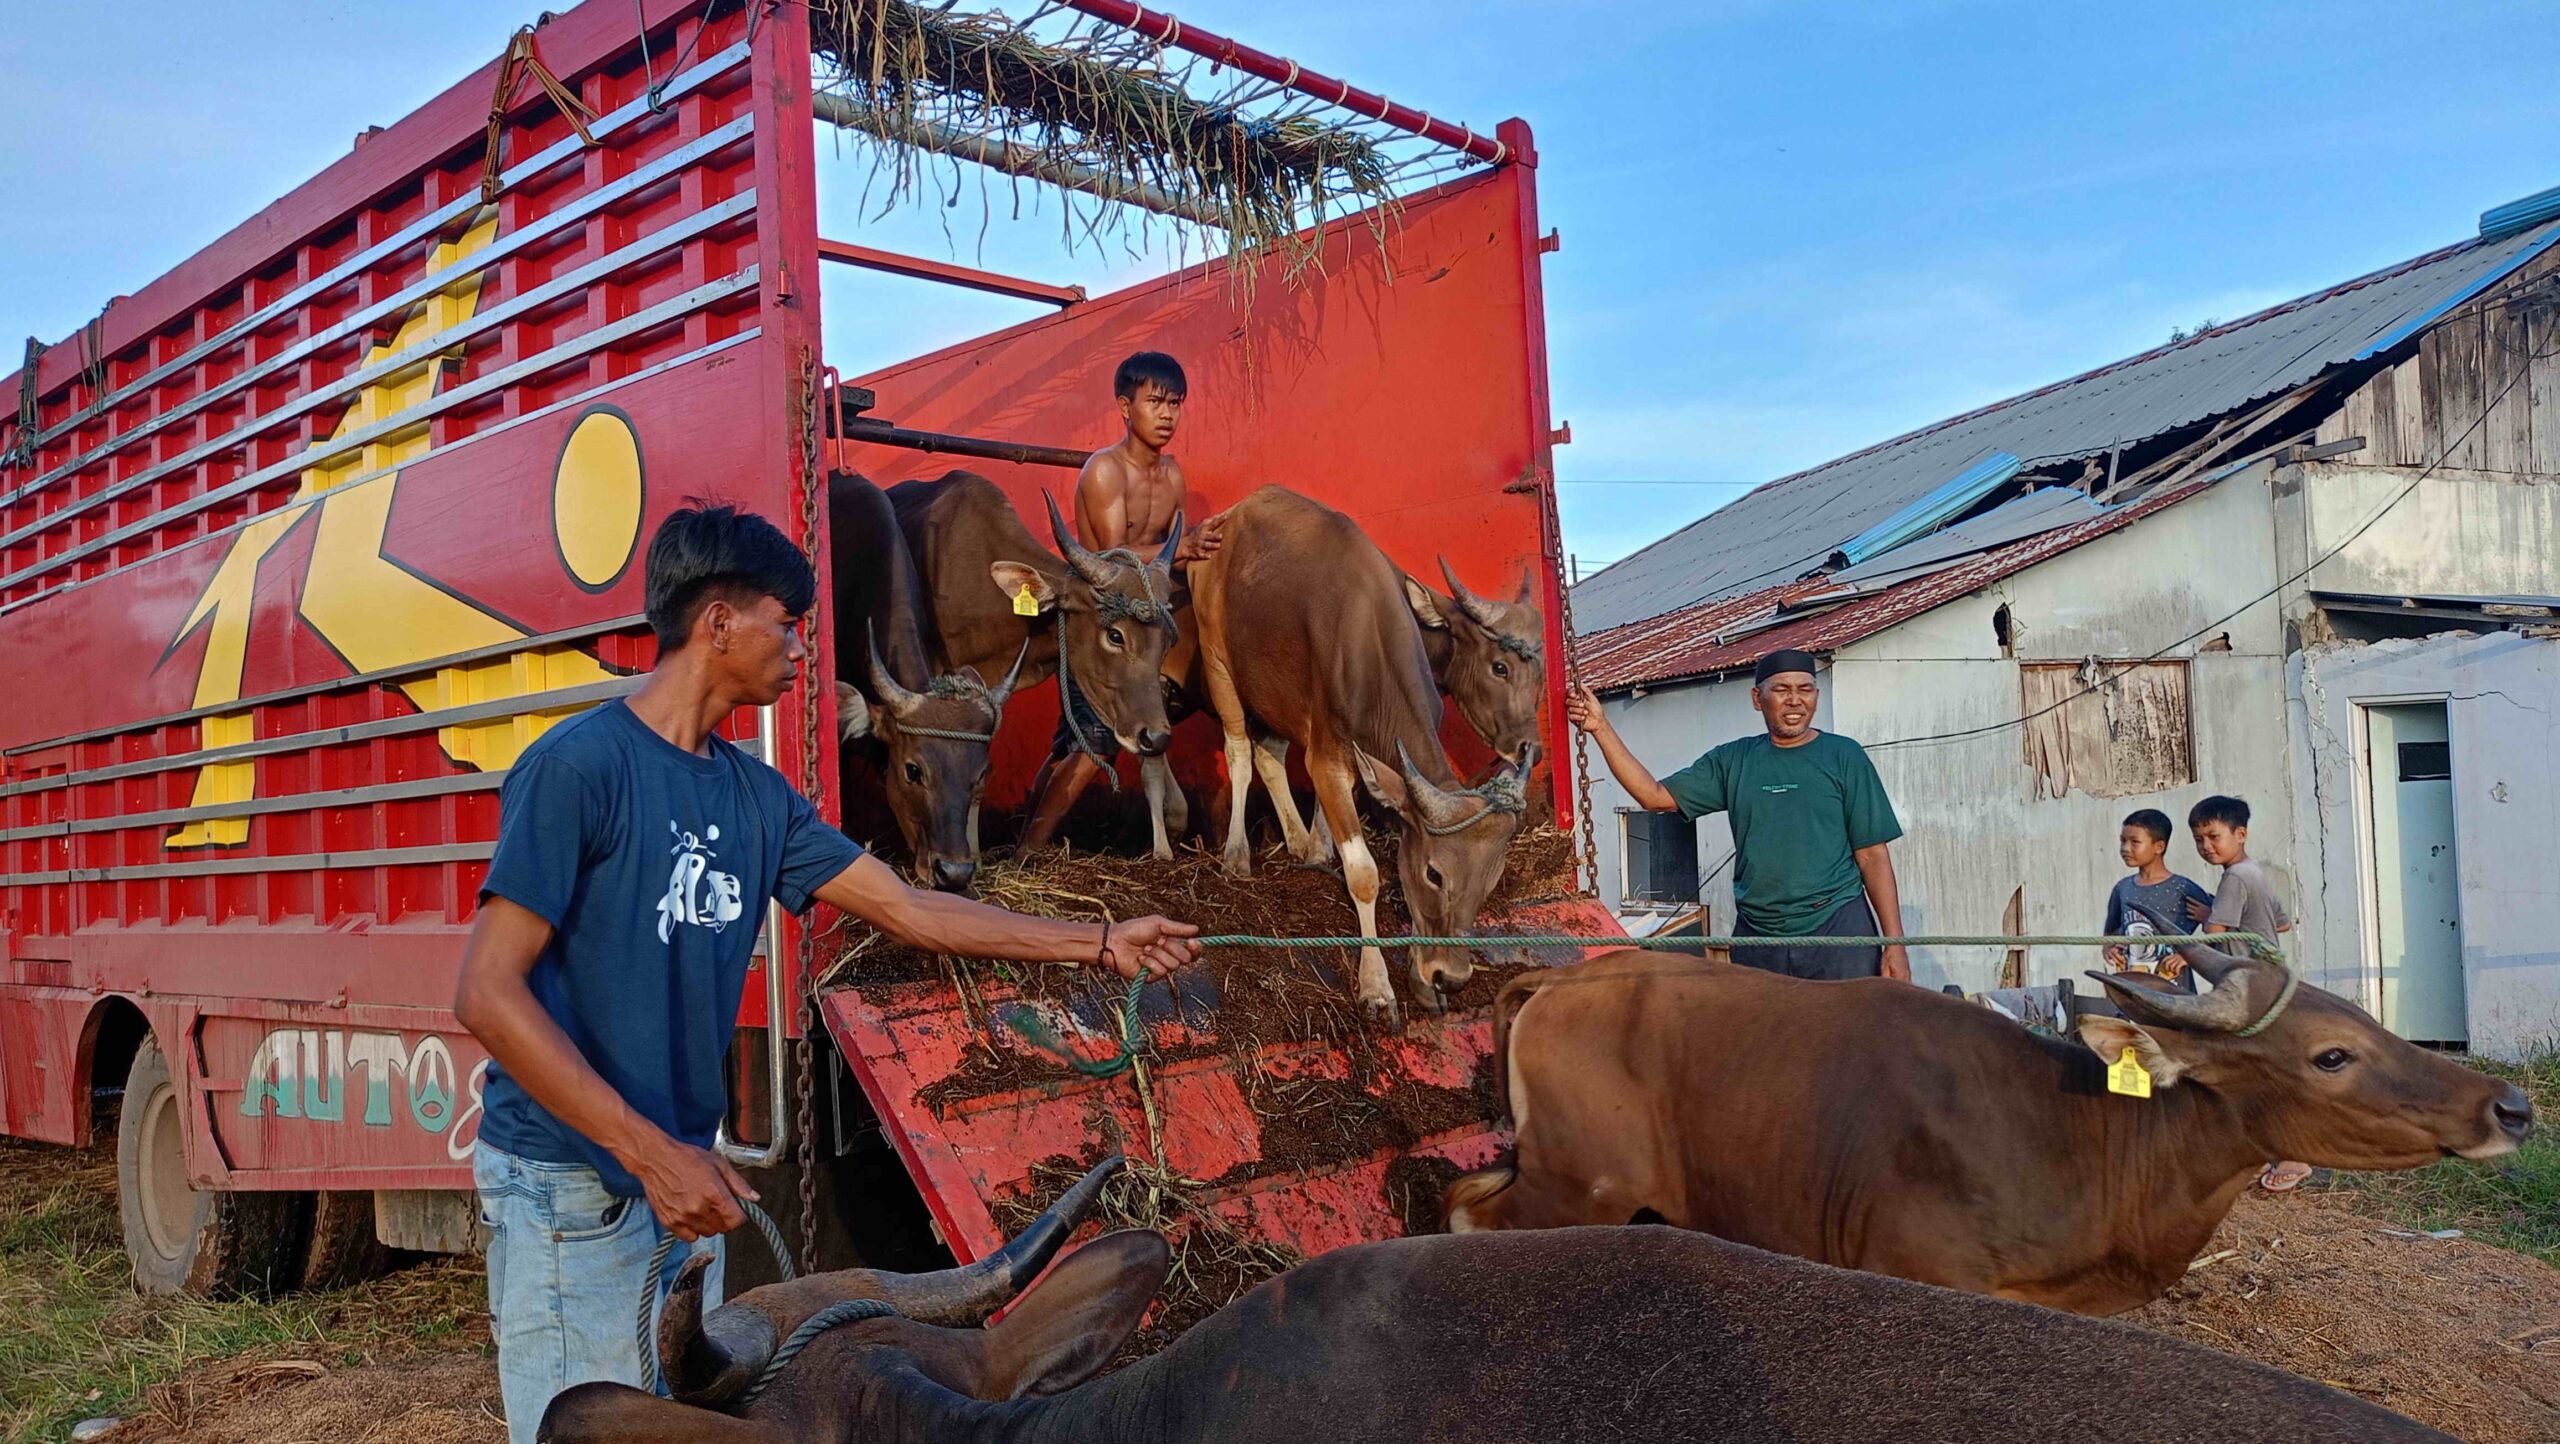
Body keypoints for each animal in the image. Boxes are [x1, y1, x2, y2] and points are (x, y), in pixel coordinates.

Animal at [1192, 483, 1525, 1024]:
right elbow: (1365, 874)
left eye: (1492, 881)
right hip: (1219, 661)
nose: (1451, 977)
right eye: (1435, 873)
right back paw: (1237, 854)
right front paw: (1376, 987)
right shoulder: (1326, 756)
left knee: (1269, 756)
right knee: (1239, 751)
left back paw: (1300, 843)